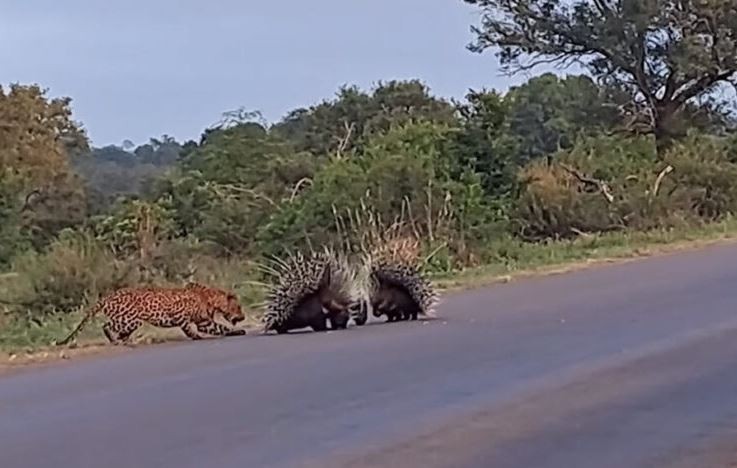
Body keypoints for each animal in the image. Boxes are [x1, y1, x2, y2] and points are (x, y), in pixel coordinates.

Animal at [57, 280, 246, 346]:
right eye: (238, 307)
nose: (243, 317)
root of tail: (109, 296)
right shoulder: (178, 314)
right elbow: (189, 328)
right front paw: (195, 337)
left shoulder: (203, 322)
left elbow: (220, 327)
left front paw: (238, 331)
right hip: (129, 319)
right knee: (107, 325)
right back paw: (115, 340)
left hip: (131, 322)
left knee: (121, 331)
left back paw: (127, 340)